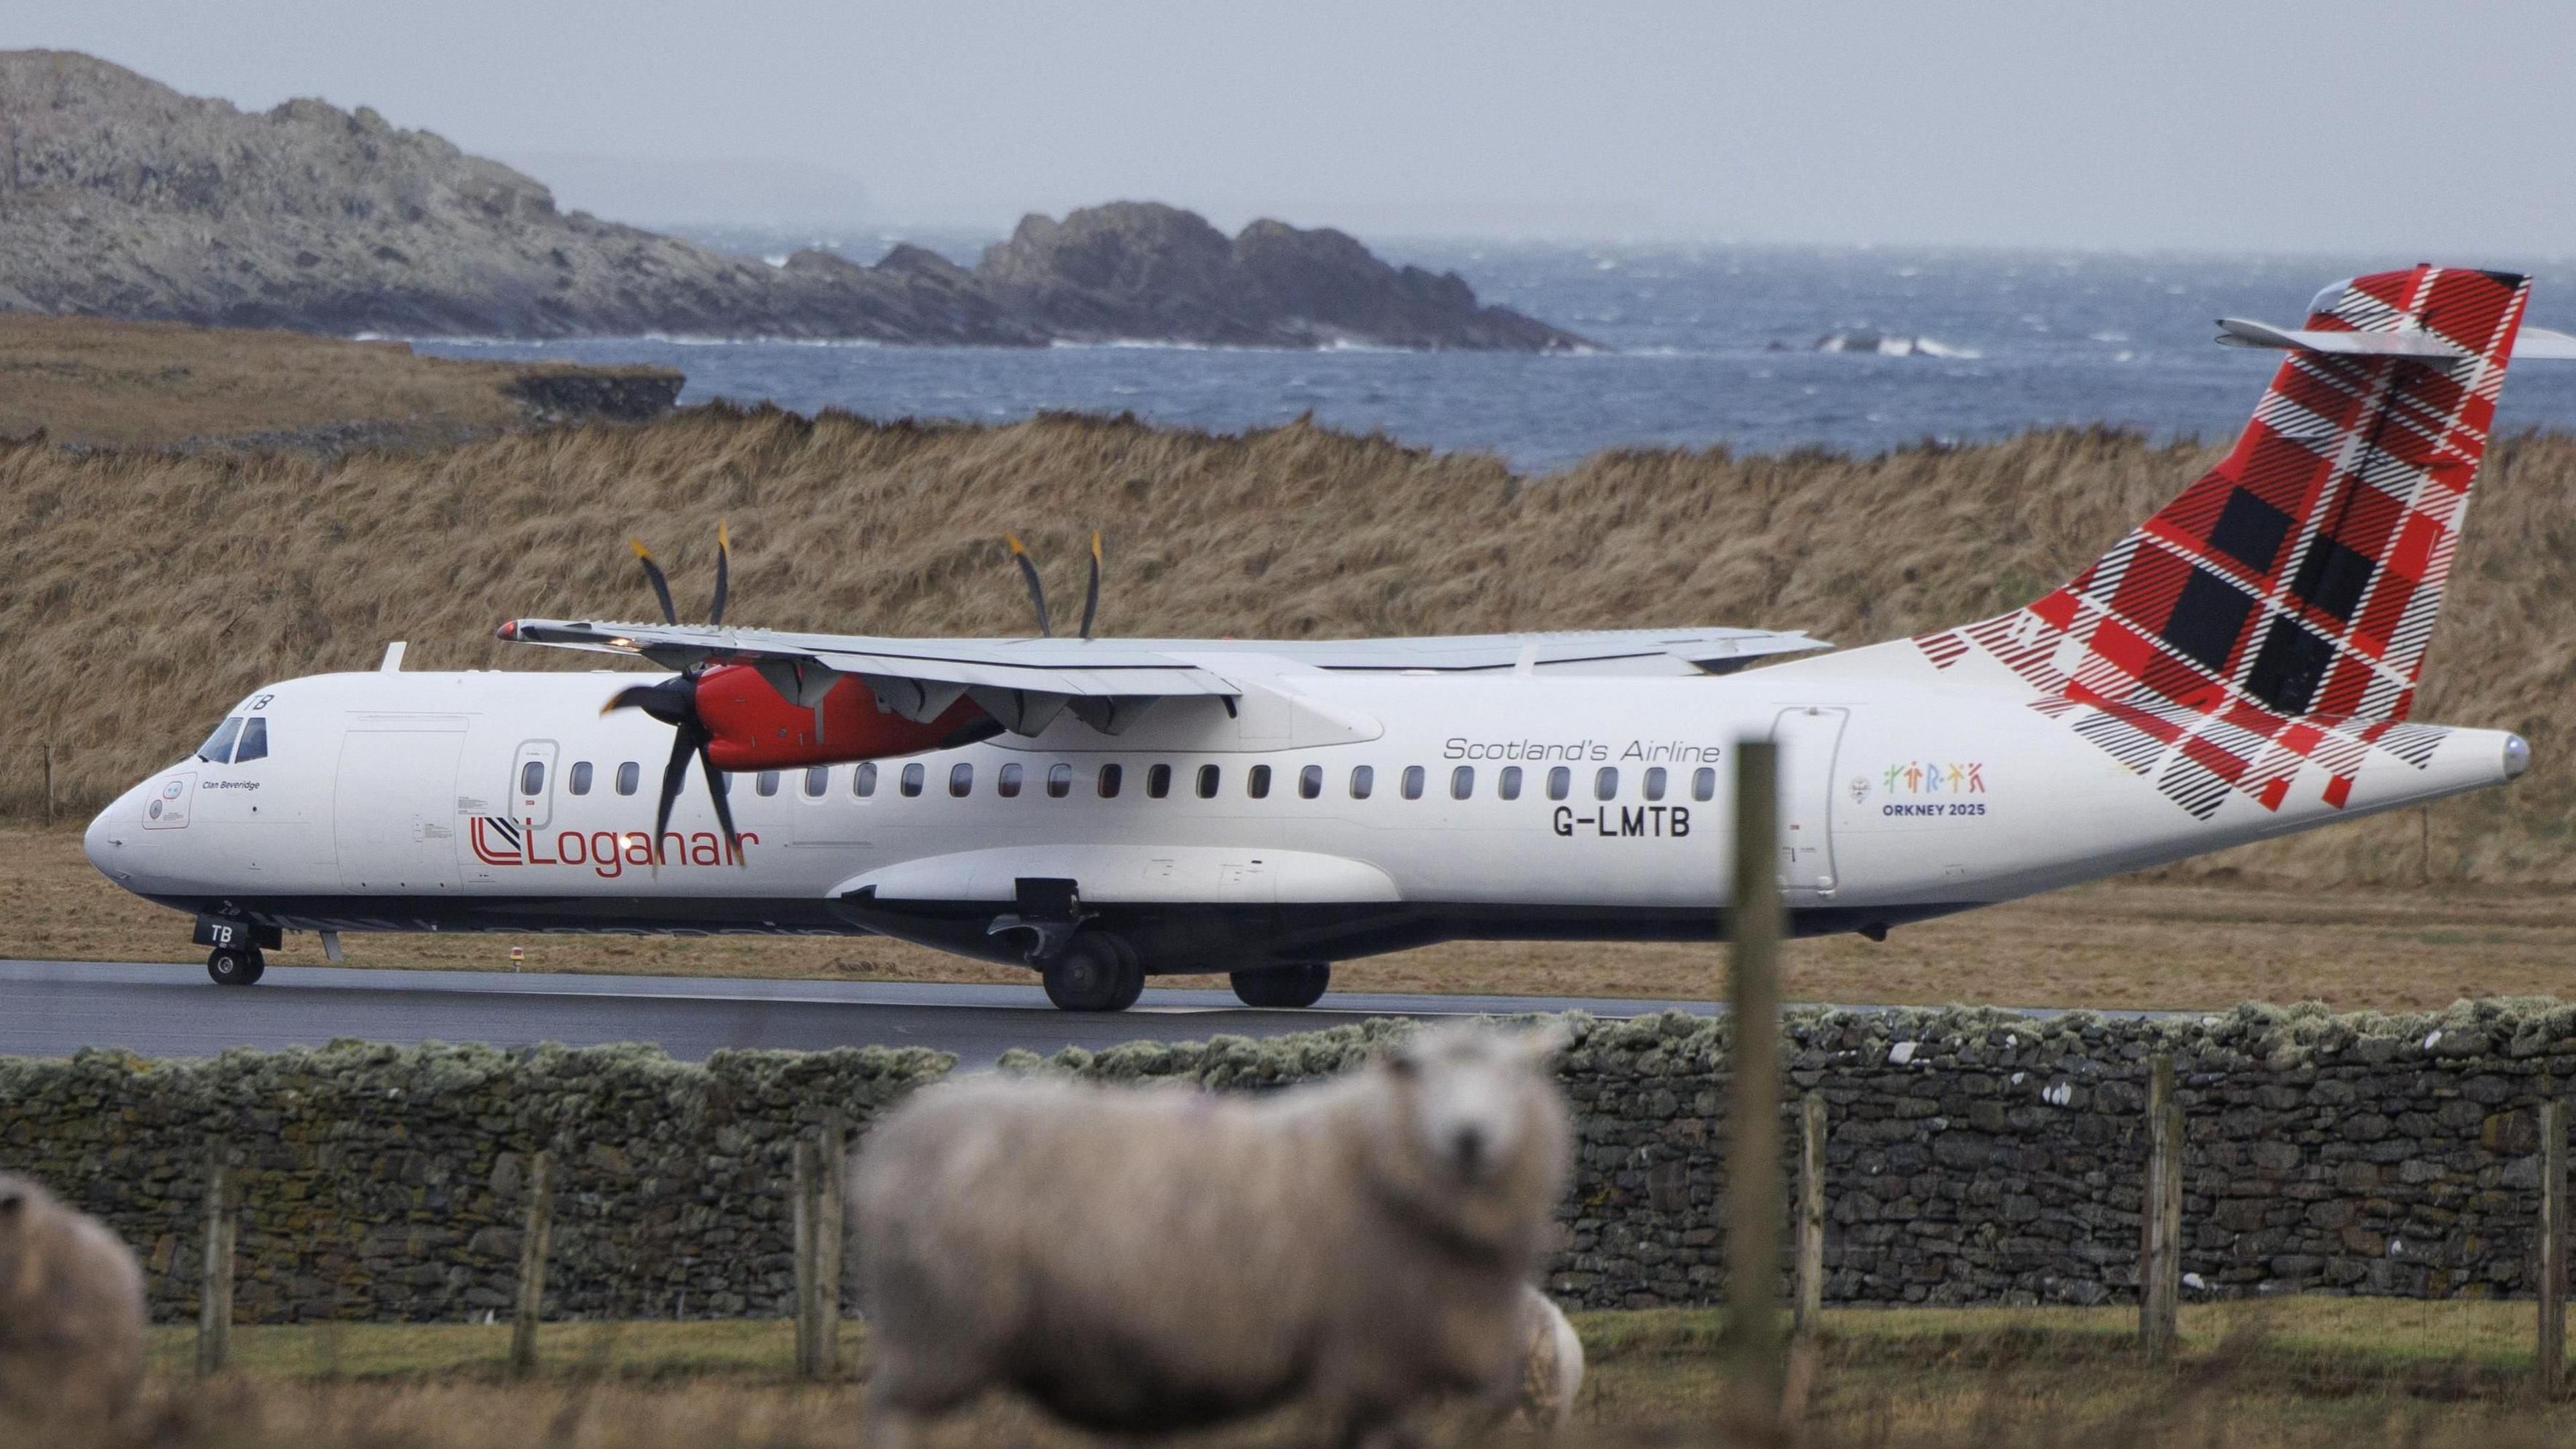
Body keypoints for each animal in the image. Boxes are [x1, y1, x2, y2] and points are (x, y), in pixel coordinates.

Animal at [849, 1022, 1574, 1449]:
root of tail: (894, 1139)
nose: (1470, 1138)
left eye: (1516, 1077)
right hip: (940, 1337)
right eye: (1422, 1077)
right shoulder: (1371, 1363)